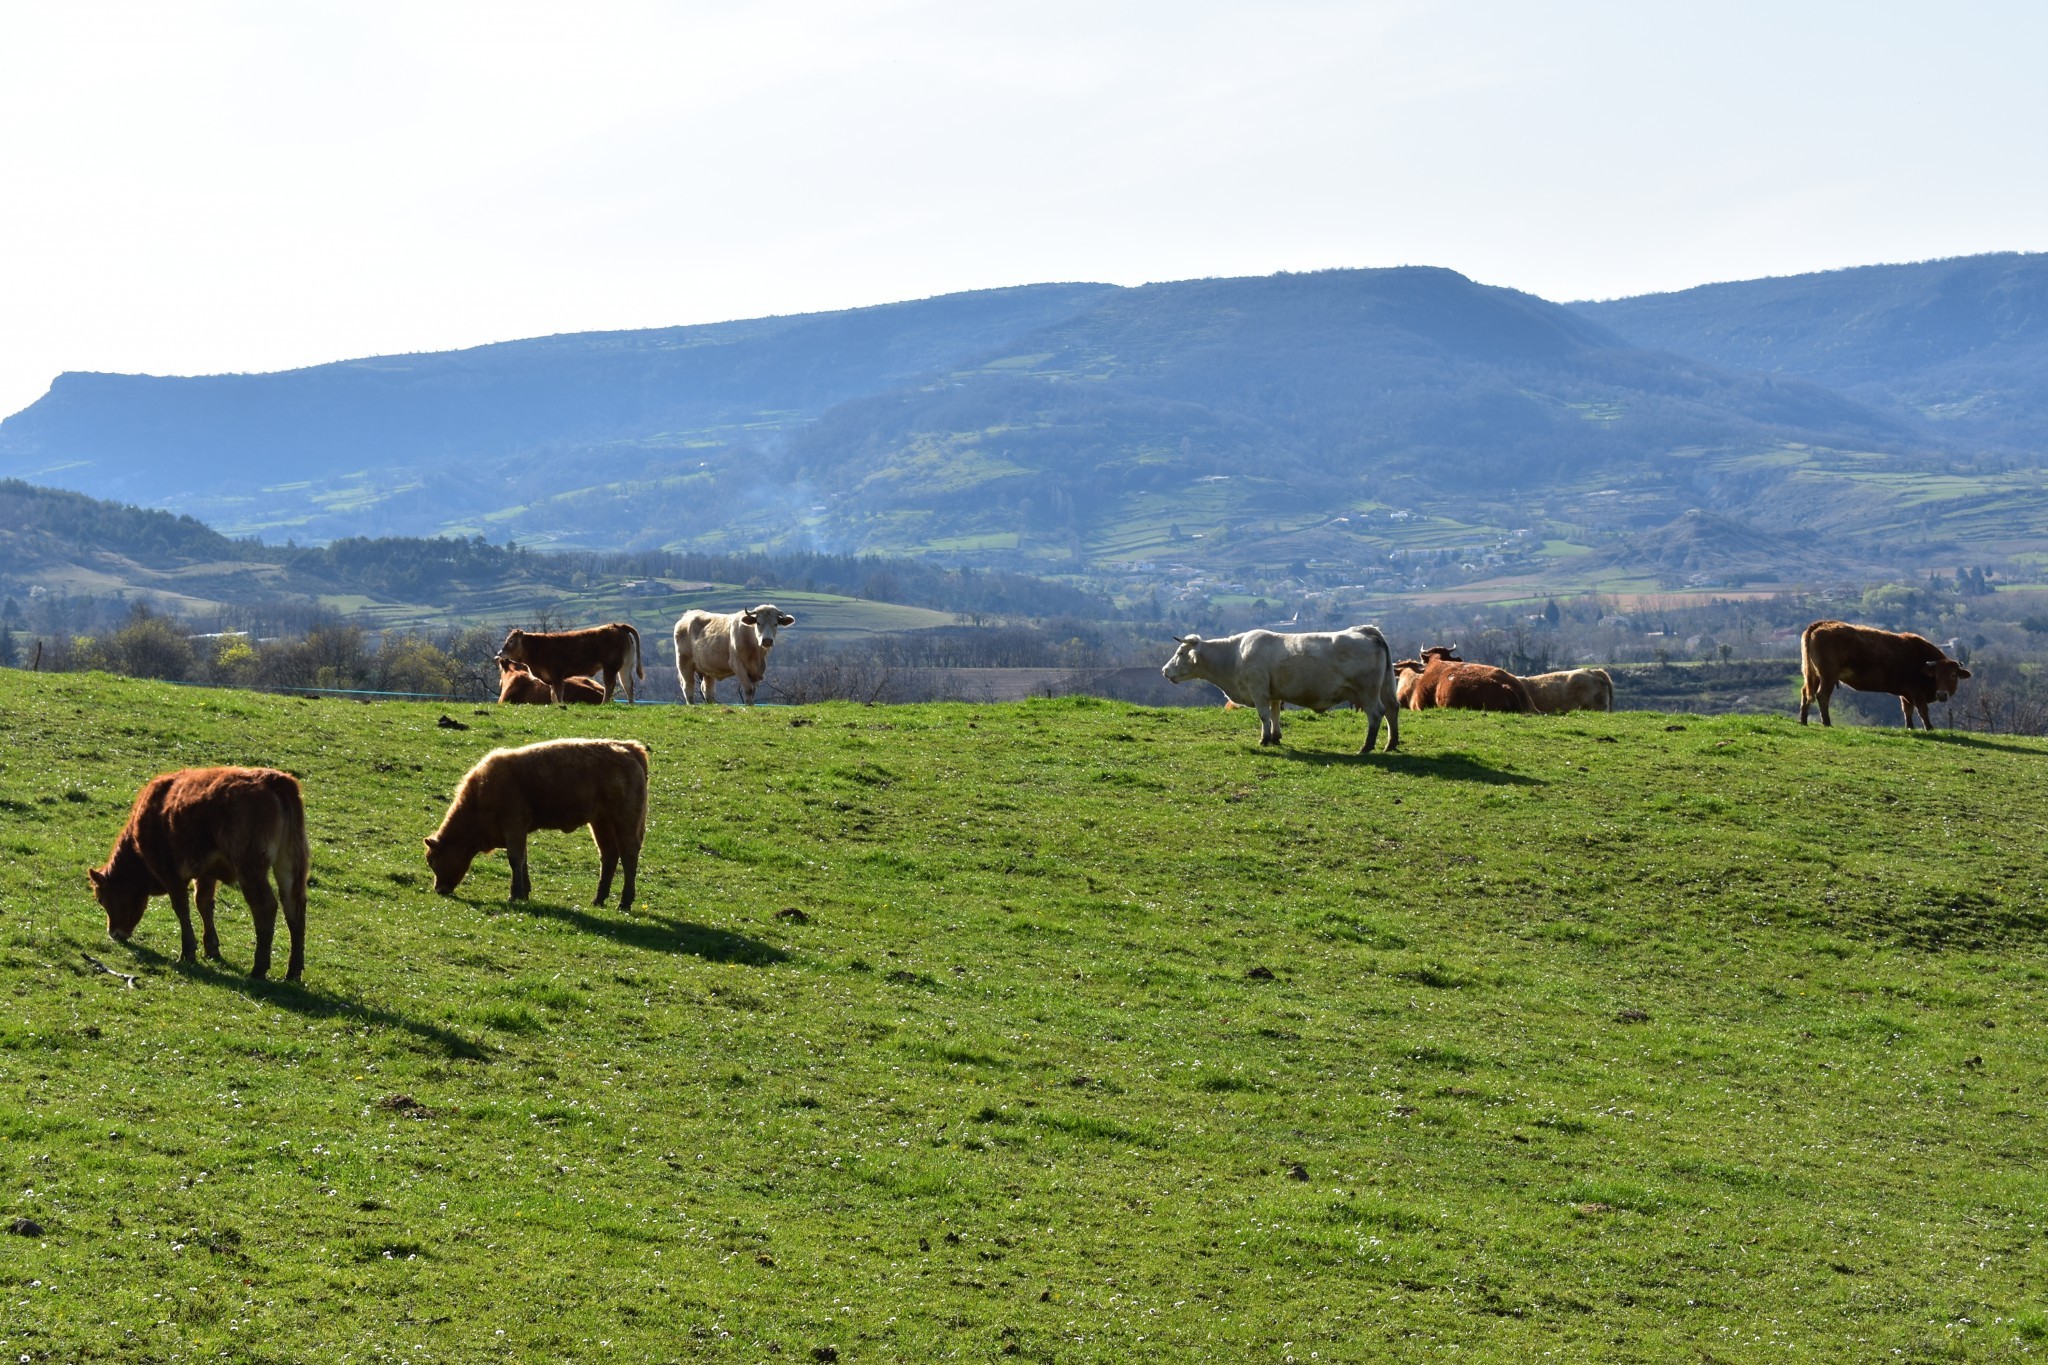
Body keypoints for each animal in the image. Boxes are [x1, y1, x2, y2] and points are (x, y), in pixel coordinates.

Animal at [90, 769, 311, 982]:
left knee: (265, 907)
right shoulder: (206, 873)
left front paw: (187, 952)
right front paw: (211, 948)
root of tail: (271, 779)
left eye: (101, 899)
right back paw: (293, 971)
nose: (114, 933)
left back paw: (259, 969)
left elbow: (181, 907)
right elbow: (203, 903)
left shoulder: (170, 872)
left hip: (250, 869)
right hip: (290, 862)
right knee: (294, 906)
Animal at [428, 736, 651, 908]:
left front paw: (514, 894)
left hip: (625, 822)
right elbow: (523, 860)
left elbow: (515, 859)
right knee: (609, 856)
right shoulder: (519, 831)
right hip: (601, 823)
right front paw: (524, 892)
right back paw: (599, 899)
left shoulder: (514, 827)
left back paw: (625, 902)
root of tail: (627, 748)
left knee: (629, 856)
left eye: (432, 861)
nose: (439, 889)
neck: (480, 794)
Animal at [495, 622, 638, 703]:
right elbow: (553, 694)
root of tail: (616, 626)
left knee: (610, 685)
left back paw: (604, 704)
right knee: (627, 684)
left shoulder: (556, 674)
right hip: (625, 665)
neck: (538, 648)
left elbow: (558, 693)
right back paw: (631, 704)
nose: (500, 653)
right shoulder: (551, 678)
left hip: (610, 667)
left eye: (511, 641)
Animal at [1163, 626, 1400, 753]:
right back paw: (1391, 744)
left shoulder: (1258, 690)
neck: (1234, 656)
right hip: (1386, 687)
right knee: (1392, 709)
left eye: (1180, 653)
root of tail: (1364, 630)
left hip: (1367, 691)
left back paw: (1366, 747)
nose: (1165, 670)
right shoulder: (1274, 694)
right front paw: (1276, 737)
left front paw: (1264, 739)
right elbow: (1275, 714)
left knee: (1376, 713)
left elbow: (1264, 715)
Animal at [1802, 618, 1974, 724]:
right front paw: (1929, 728)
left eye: (1953, 675)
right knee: (1822, 696)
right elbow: (1923, 711)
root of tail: (1823, 624)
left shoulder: (1906, 694)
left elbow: (1907, 711)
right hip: (1828, 676)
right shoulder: (1917, 693)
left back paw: (1803, 721)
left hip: (1814, 675)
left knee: (1805, 693)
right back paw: (1827, 723)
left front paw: (1910, 727)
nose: (1942, 694)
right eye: (1936, 675)